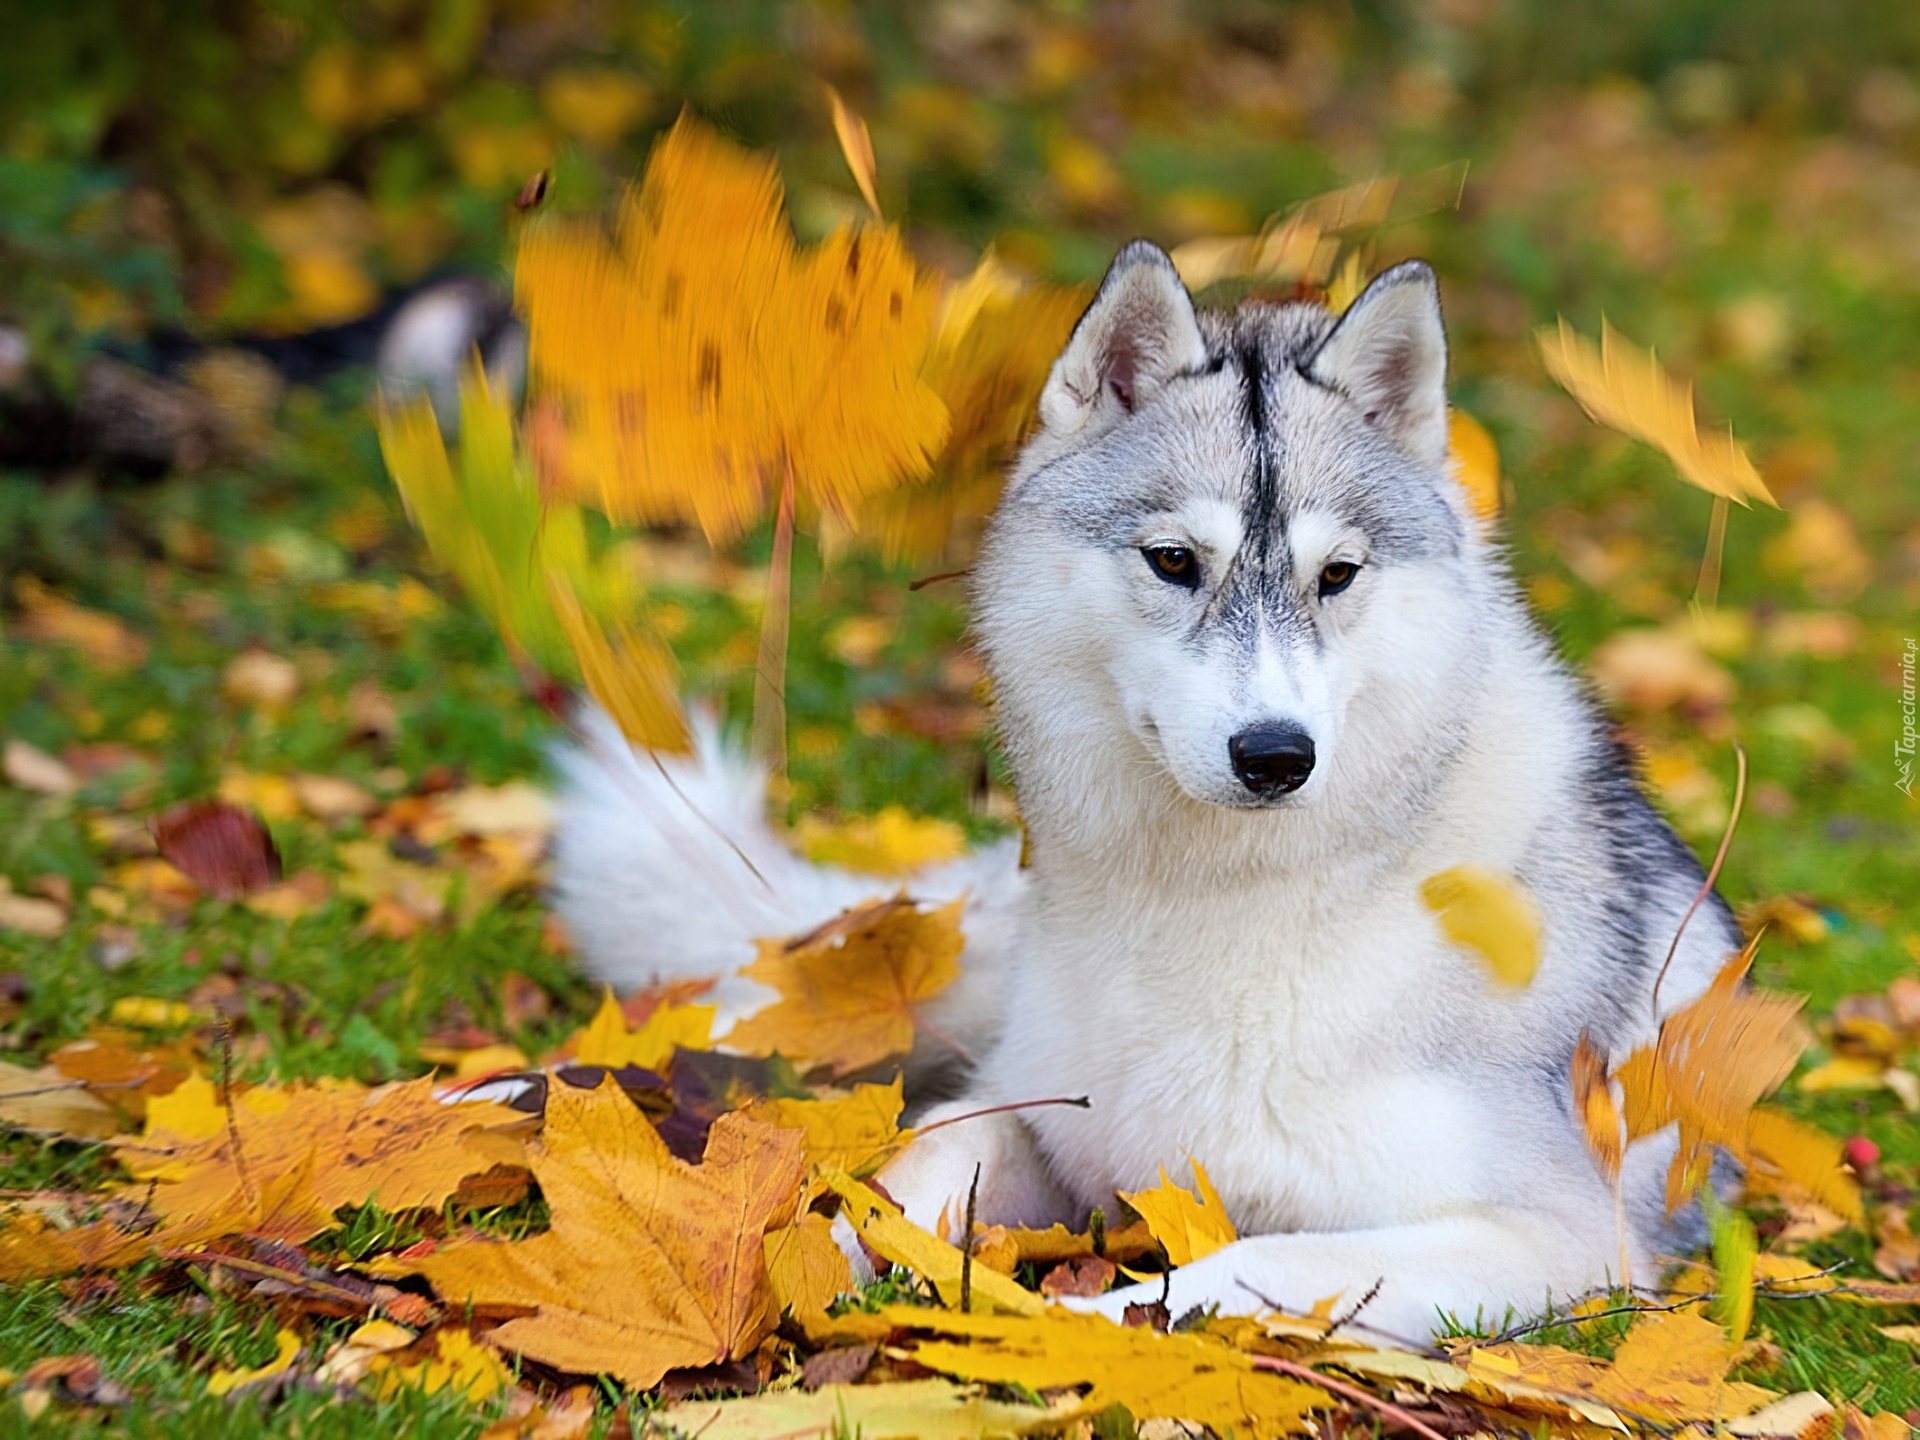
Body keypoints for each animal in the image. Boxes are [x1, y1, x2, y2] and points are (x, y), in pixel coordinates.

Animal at [549, 245, 1735, 1344]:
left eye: (1337, 577)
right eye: (1173, 561)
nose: (1276, 755)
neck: (1221, 899)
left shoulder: (1552, 1242)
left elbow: (1230, 1272)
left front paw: (1064, 1331)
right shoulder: (1045, 1115)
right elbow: (906, 1174)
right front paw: (790, 1270)